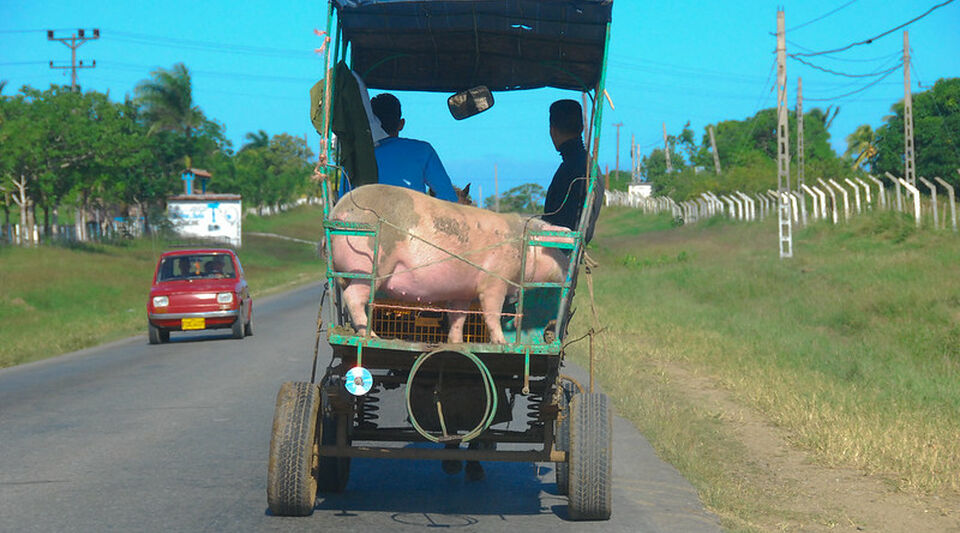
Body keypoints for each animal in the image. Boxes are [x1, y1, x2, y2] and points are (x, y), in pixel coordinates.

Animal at [326, 185, 572, 342]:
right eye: (556, 249)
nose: (568, 269)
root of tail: (338, 211)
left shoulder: (462, 292)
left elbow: (458, 317)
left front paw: (456, 342)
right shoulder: (495, 279)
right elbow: (492, 313)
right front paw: (502, 343)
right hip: (371, 266)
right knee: (353, 297)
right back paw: (371, 336)